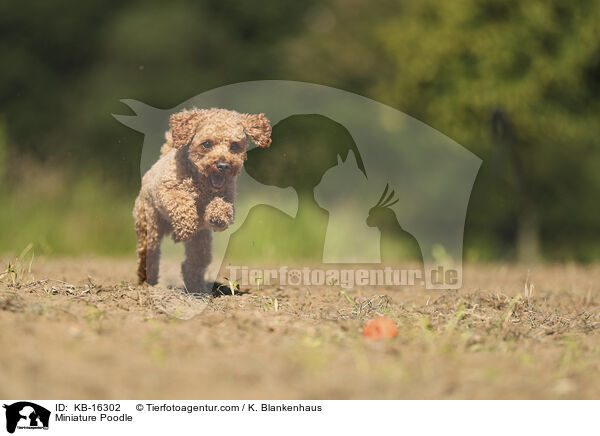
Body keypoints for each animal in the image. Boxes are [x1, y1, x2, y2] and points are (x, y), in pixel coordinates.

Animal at [134, 108, 272, 292]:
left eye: (234, 146)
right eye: (206, 144)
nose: (223, 165)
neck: (201, 183)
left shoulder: (227, 197)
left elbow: (223, 206)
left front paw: (218, 216)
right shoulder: (168, 190)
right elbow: (181, 200)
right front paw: (186, 224)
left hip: (201, 241)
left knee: (193, 263)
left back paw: (196, 287)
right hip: (150, 226)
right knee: (149, 254)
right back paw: (146, 282)